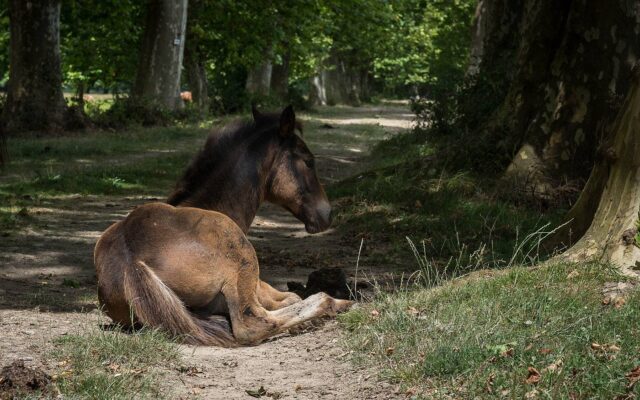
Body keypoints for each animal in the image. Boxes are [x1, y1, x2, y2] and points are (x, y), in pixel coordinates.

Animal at [94, 106, 350, 346]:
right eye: (308, 161)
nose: (327, 214)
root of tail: (132, 259)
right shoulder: (255, 283)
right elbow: (293, 298)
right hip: (242, 258)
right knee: (252, 325)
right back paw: (335, 304)